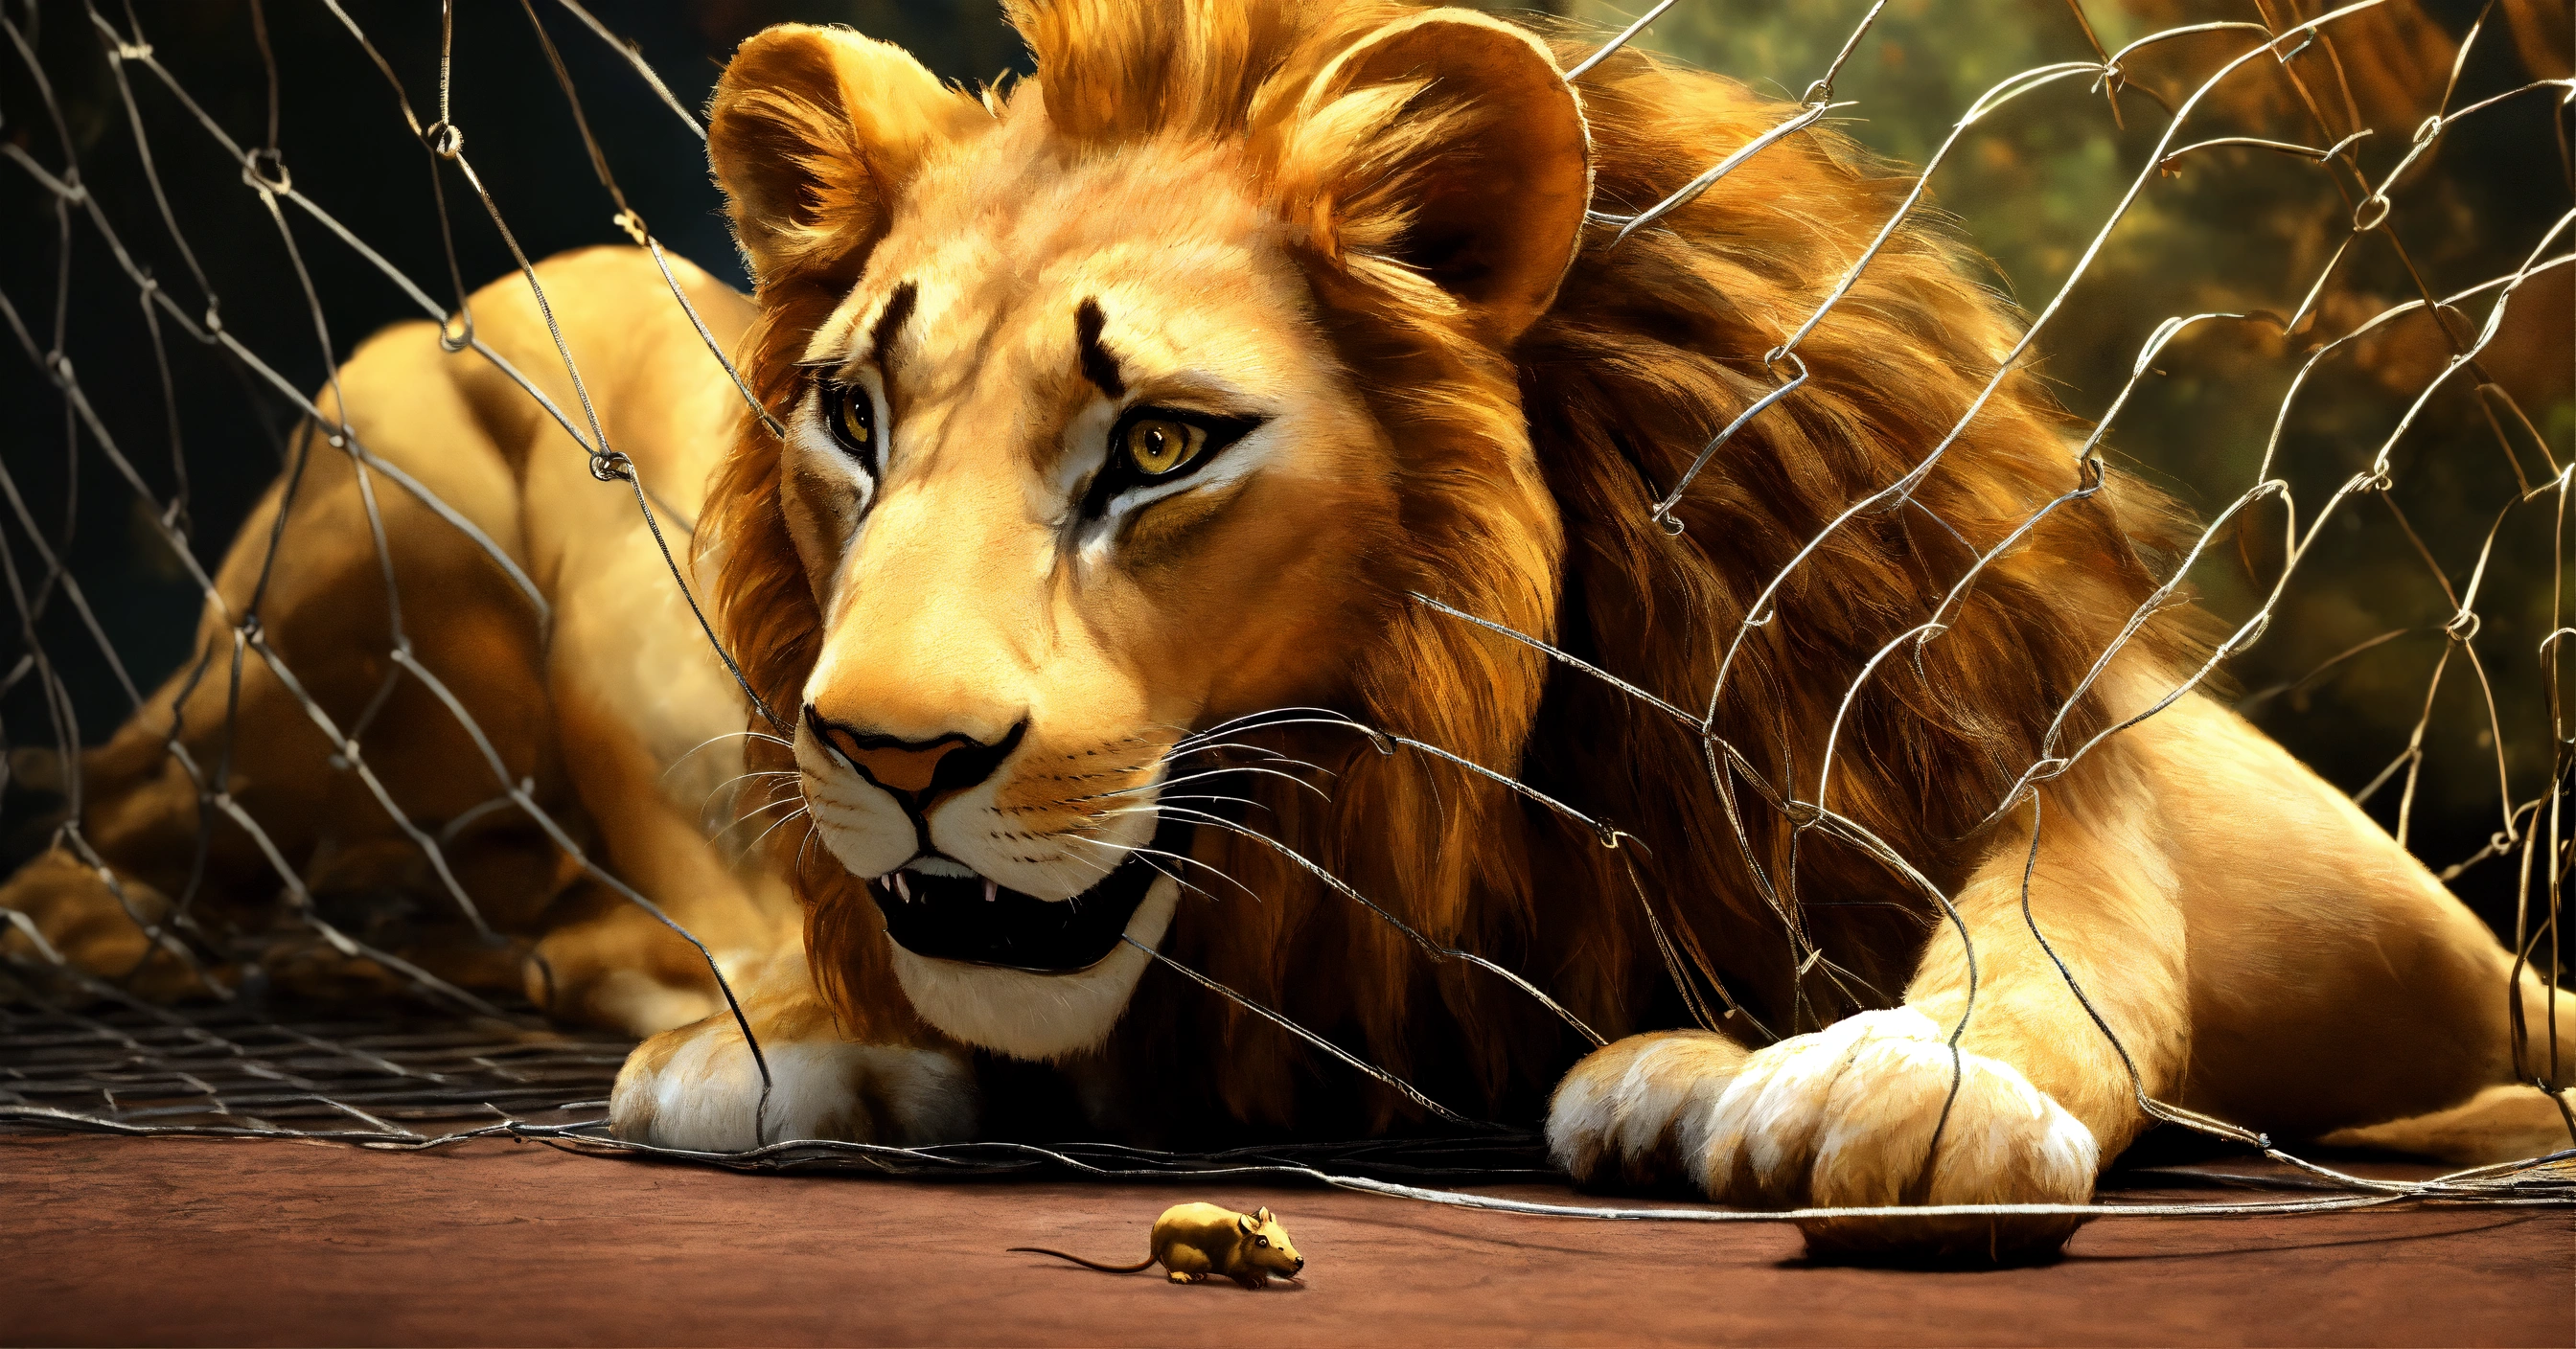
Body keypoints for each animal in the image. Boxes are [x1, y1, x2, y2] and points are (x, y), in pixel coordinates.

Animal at [6, 0, 2569, 1262]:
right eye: (854, 417)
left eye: (1159, 444)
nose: (882, 754)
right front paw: (818, 1041)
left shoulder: (2177, 770)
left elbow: (2073, 884)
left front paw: (1901, 1067)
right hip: (391, 453)